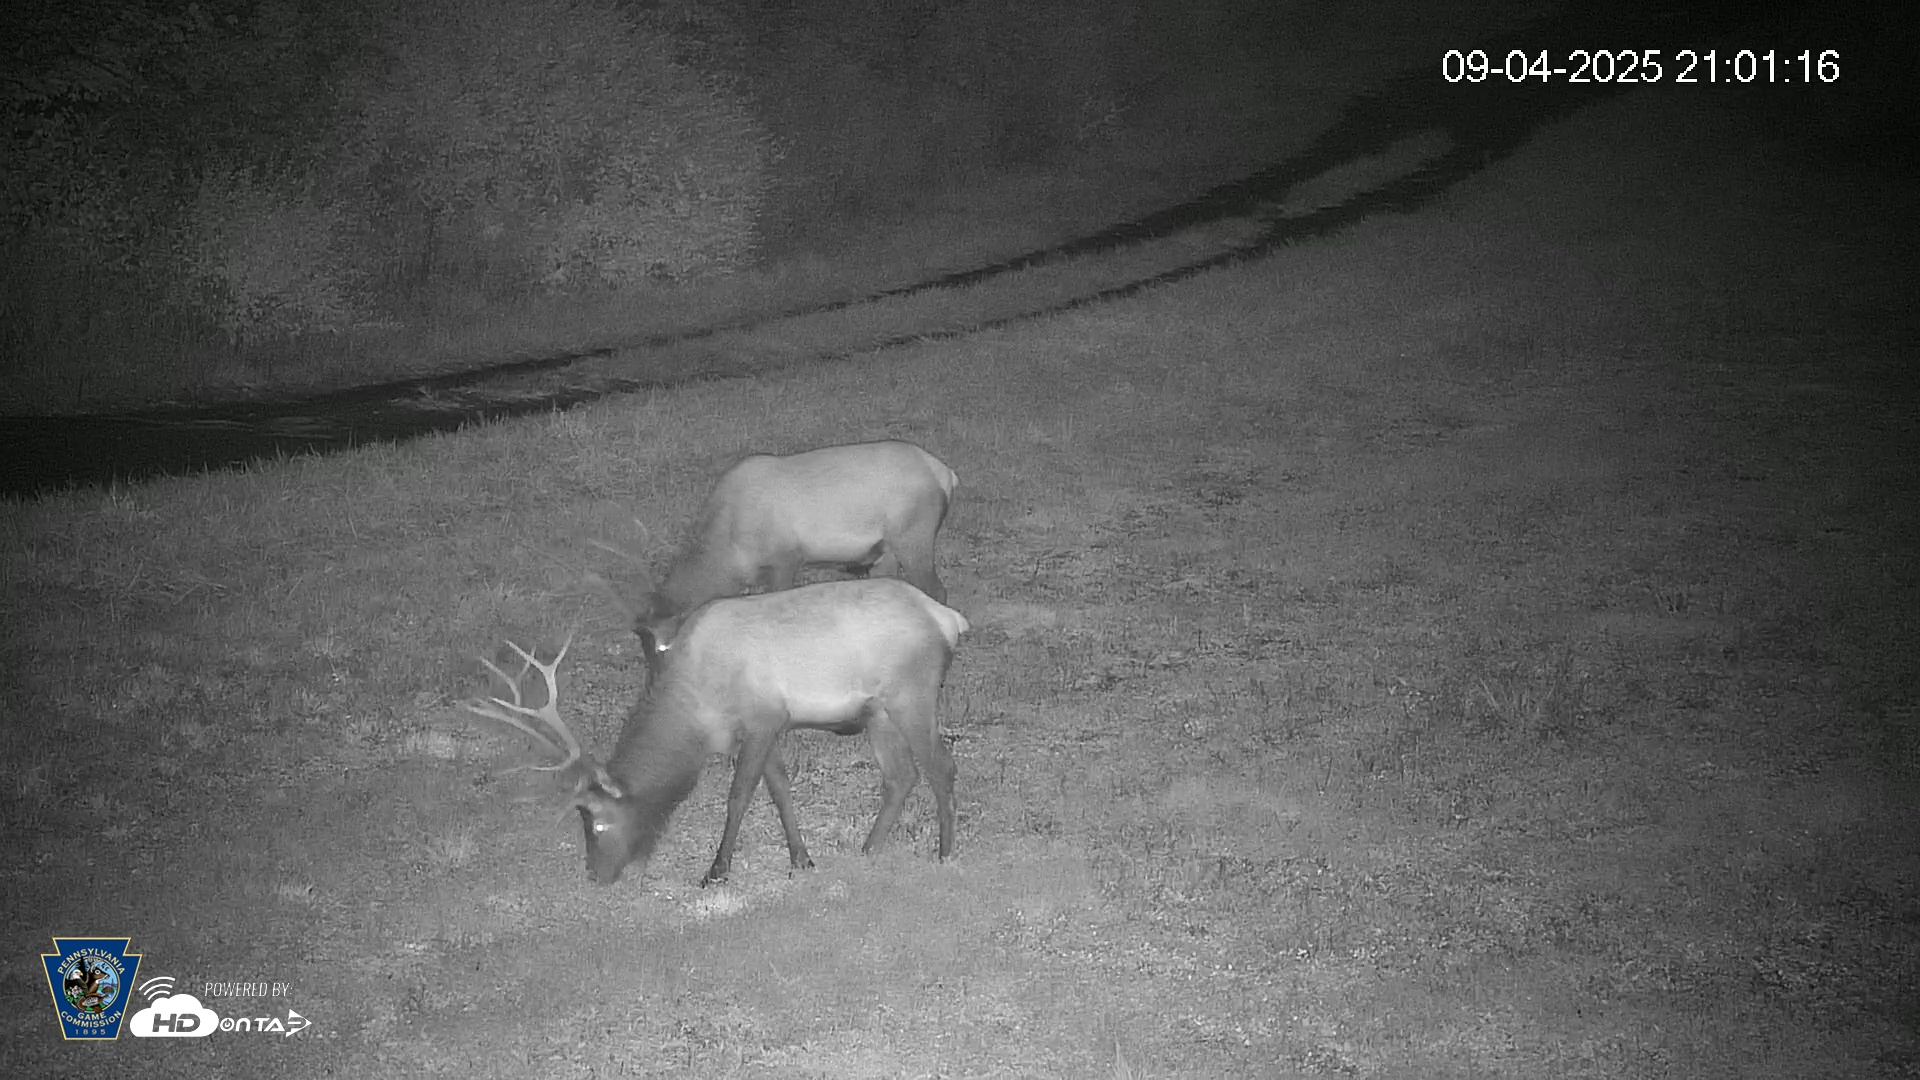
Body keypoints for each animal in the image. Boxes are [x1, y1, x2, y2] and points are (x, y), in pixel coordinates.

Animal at [465, 577, 968, 886]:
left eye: (598, 821)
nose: (594, 875)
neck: (698, 711)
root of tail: (948, 618)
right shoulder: (759, 727)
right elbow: (779, 789)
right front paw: (801, 858)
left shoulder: (763, 716)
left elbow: (739, 794)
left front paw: (716, 870)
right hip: (876, 711)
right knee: (901, 776)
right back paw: (868, 849)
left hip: (911, 694)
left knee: (942, 766)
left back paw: (945, 853)